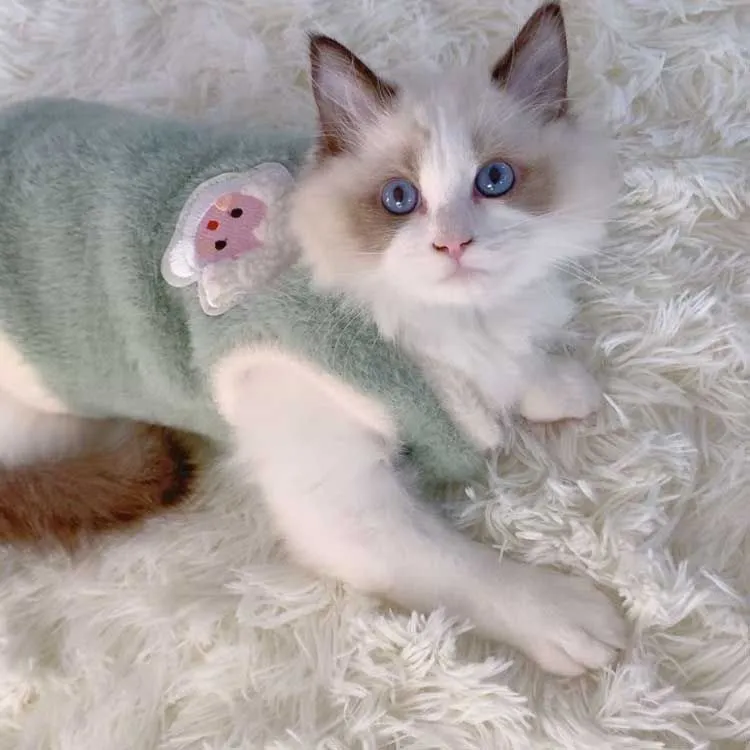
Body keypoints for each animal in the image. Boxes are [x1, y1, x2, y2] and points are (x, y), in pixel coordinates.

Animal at [0, 3, 625, 676]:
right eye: (399, 198)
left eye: (496, 179)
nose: (453, 243)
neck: (446, 322)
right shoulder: (344, 500)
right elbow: (470, 570)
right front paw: (568, 615)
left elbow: (519, 373)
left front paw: (559, 386)